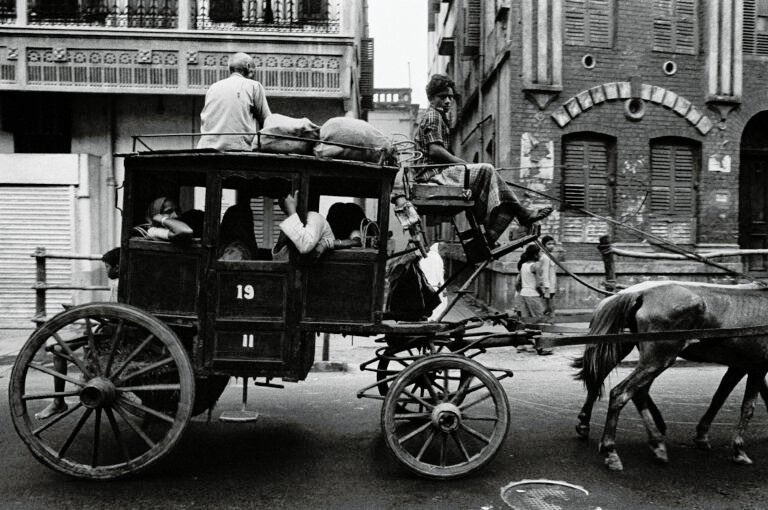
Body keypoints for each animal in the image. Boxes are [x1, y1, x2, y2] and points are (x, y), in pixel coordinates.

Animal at [572, 280, 768, 472]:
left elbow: (720, 397)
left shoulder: (741, 366)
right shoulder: (757, 367)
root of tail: (638, 293)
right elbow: (748, 407)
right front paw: (738, 450)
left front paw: (702, 436)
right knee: (620, 393)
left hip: (636, 351)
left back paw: (654, 442)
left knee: (622, 386)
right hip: (658, 358)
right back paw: (611, 451)